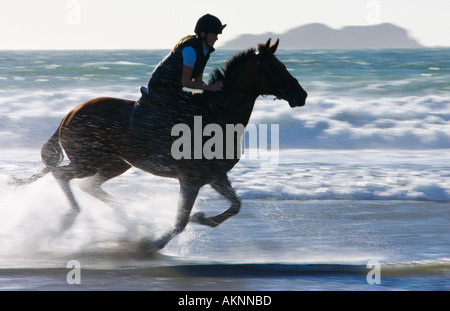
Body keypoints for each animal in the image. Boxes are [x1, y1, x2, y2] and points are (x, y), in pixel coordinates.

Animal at [14, 39, 310, 254]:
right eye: (274, 67)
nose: (302, 95)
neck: (218, 115)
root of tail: (70, 112)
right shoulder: (191, 178)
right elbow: (180, 221)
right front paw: (155, 243)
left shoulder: (215, 176)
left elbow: (235, 207)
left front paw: (202, 218)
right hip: (89, 160)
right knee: (62, 175)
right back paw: (73, 218)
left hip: (116, 163)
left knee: (89, 185)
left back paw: (127, 220)